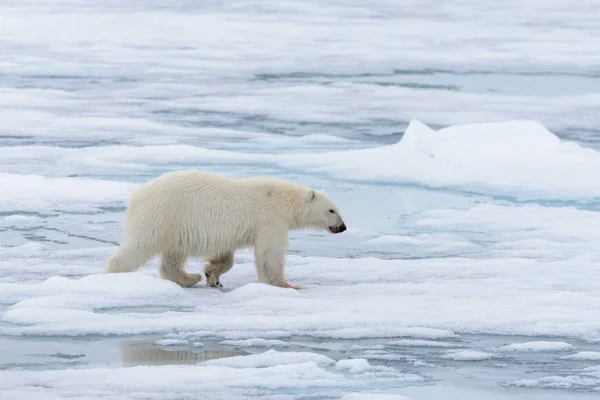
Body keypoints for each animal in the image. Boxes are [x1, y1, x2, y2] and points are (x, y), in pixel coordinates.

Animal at [105, 170, 344, 290]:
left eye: (337, 208)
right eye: (331, 210)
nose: (343, 227)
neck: (284, 199)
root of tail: (138, 195)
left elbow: (226, 256)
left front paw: (212, 274)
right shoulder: (269, 218)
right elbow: (270, 253)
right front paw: (286, 285)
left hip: (175, 226)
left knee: (172, 257)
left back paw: (189, 278)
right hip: (162, 214)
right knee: (139, 245)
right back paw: (117, 273)